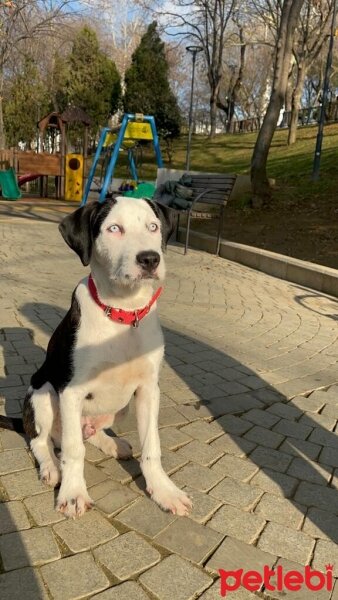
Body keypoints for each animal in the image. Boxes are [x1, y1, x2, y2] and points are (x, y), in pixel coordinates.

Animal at [4, 199, 193, 516]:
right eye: (113, 228)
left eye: (153, 227)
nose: (150, 259)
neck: (123, 312)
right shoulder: (71, 391)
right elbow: (72, 450)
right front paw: (73, 494)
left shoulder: (148, 389)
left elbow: (152, 446)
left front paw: (164, 491)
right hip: (43, 393)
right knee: (42, 441)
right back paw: (51, 468)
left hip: (120, 406)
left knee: (88, 434)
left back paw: (114, 445)